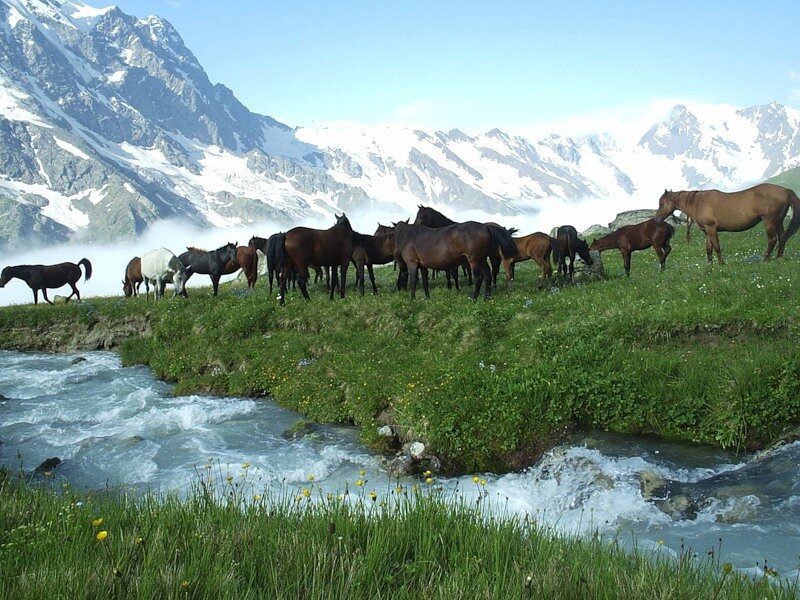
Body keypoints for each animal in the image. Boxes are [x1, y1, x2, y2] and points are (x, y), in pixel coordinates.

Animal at [656, 183, 800, 262]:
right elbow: (709, 249)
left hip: (769, 221)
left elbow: (717, 247)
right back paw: (778, 258)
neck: (698, 202)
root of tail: (785, 190)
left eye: (661, 203)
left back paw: (765, 260)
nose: (657, 219)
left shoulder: (711, 229)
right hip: (778, 221)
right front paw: (710, 266)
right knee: (782, 237)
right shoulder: (706, 231)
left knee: (772, 240)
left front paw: (721, 264)